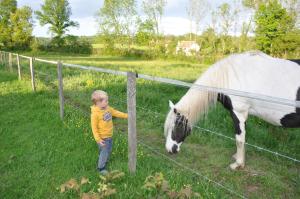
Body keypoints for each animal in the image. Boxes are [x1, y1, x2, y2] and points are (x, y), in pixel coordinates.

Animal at [164, 51, 300, 169]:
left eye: (177, 125)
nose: (170, 149)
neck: (230, 77)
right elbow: (243, 139)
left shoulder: (238, 113)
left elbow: (239, 139)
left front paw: (238, 164)